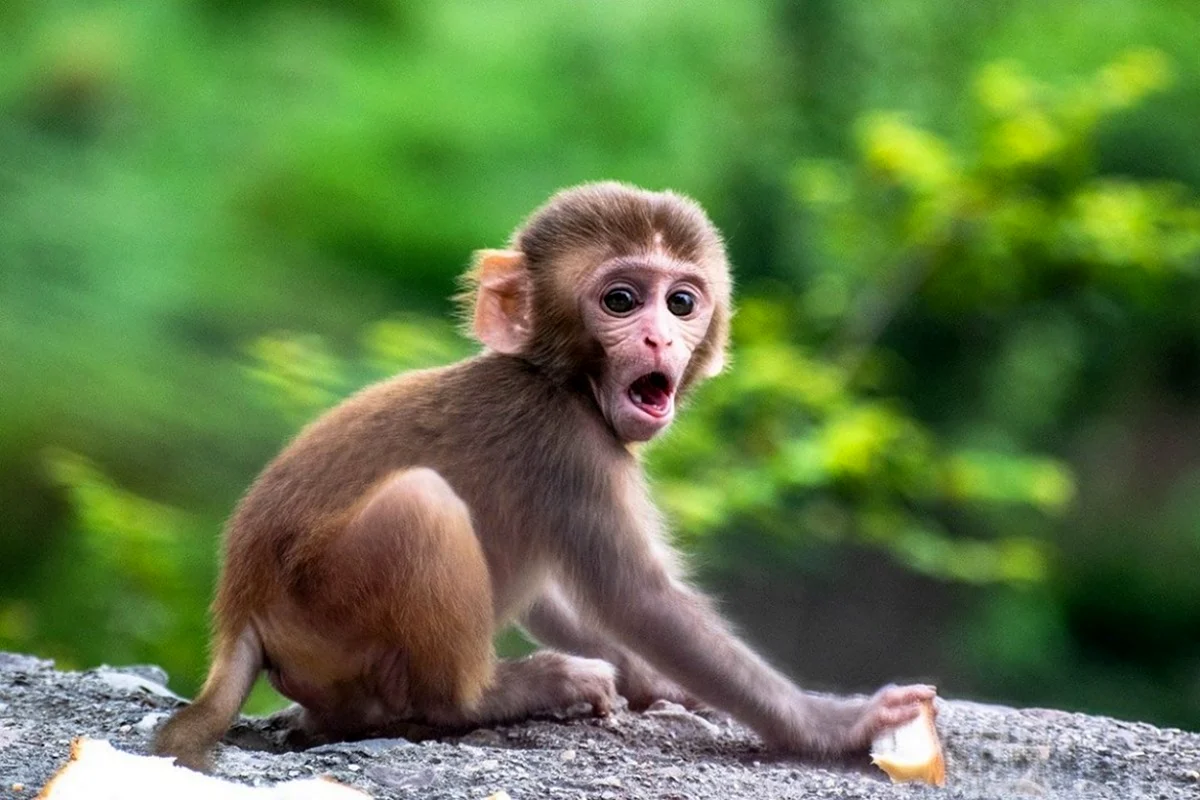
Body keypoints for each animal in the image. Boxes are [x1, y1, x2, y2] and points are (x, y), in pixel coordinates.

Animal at [152, 179, 936, 767]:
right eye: (621, 300)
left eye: (682, 302)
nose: (660, 338)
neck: (559, 380)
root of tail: (240, 611)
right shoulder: (569, 448)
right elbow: (636, 598)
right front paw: (834, 724)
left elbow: (565, 595)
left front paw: (654, 682)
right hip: (326, 607)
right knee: (421, 505)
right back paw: (494, 697)